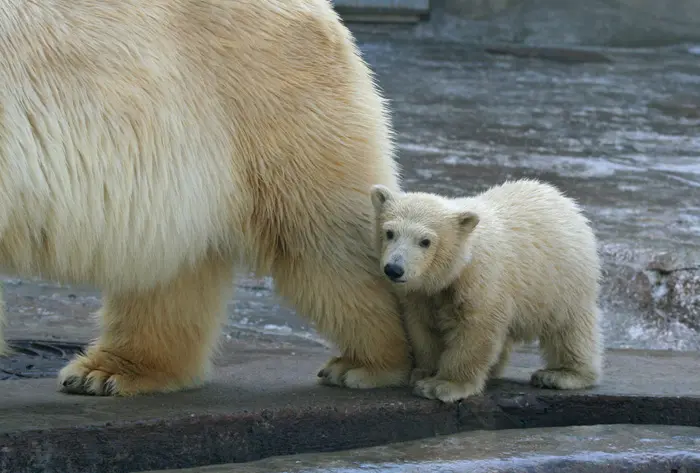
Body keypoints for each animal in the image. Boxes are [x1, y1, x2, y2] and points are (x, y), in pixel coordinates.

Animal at [0, 0, 410, 394]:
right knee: (168, 267)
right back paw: (111, 370)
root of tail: (324, 13)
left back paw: (368, 364)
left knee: (329, 239)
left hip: (272, 111)